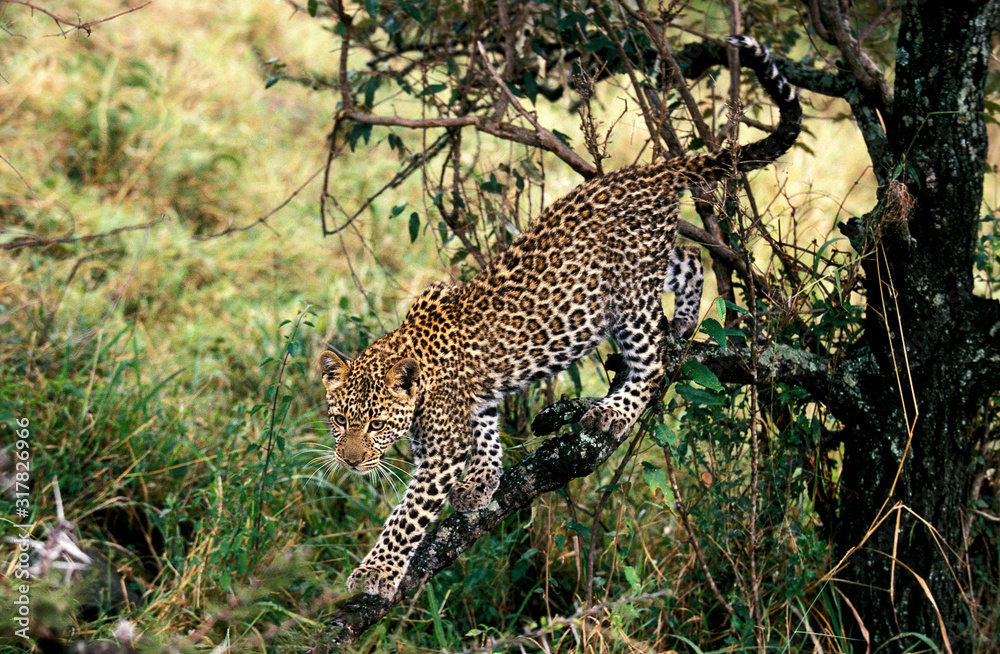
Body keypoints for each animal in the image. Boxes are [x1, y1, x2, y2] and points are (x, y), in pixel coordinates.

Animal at [317, 34, 802, 600]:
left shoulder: (438, 456)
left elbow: (408, 514)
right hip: (644, 272)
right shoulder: (472, 390)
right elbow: (486, 426)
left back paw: (614, 409)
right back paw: (683, 320)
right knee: (688, 258)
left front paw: (377, 571)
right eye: (339, 420)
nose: (349, 461)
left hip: (628, 299)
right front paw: (482, 481)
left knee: (652, 360)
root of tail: (650, 171)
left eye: (375, 425)